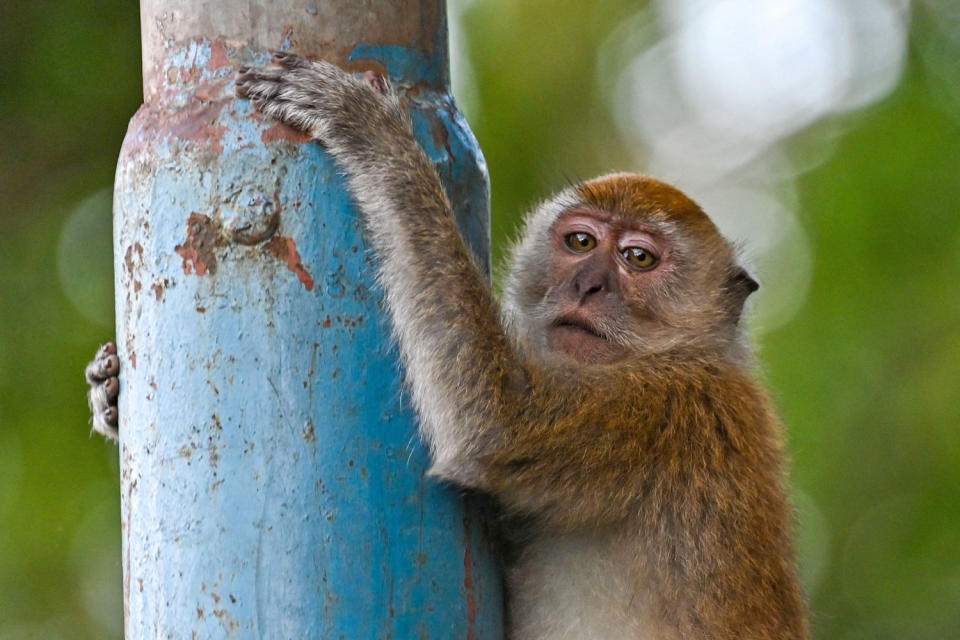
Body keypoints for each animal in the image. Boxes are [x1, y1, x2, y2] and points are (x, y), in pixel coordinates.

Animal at [90, 52, 808, 636]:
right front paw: (113, 394)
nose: (589, 284)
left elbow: (499, 425)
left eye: (637, 258)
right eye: (580, 242)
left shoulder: (665, 412)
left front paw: (375, 138)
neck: (678, 353)